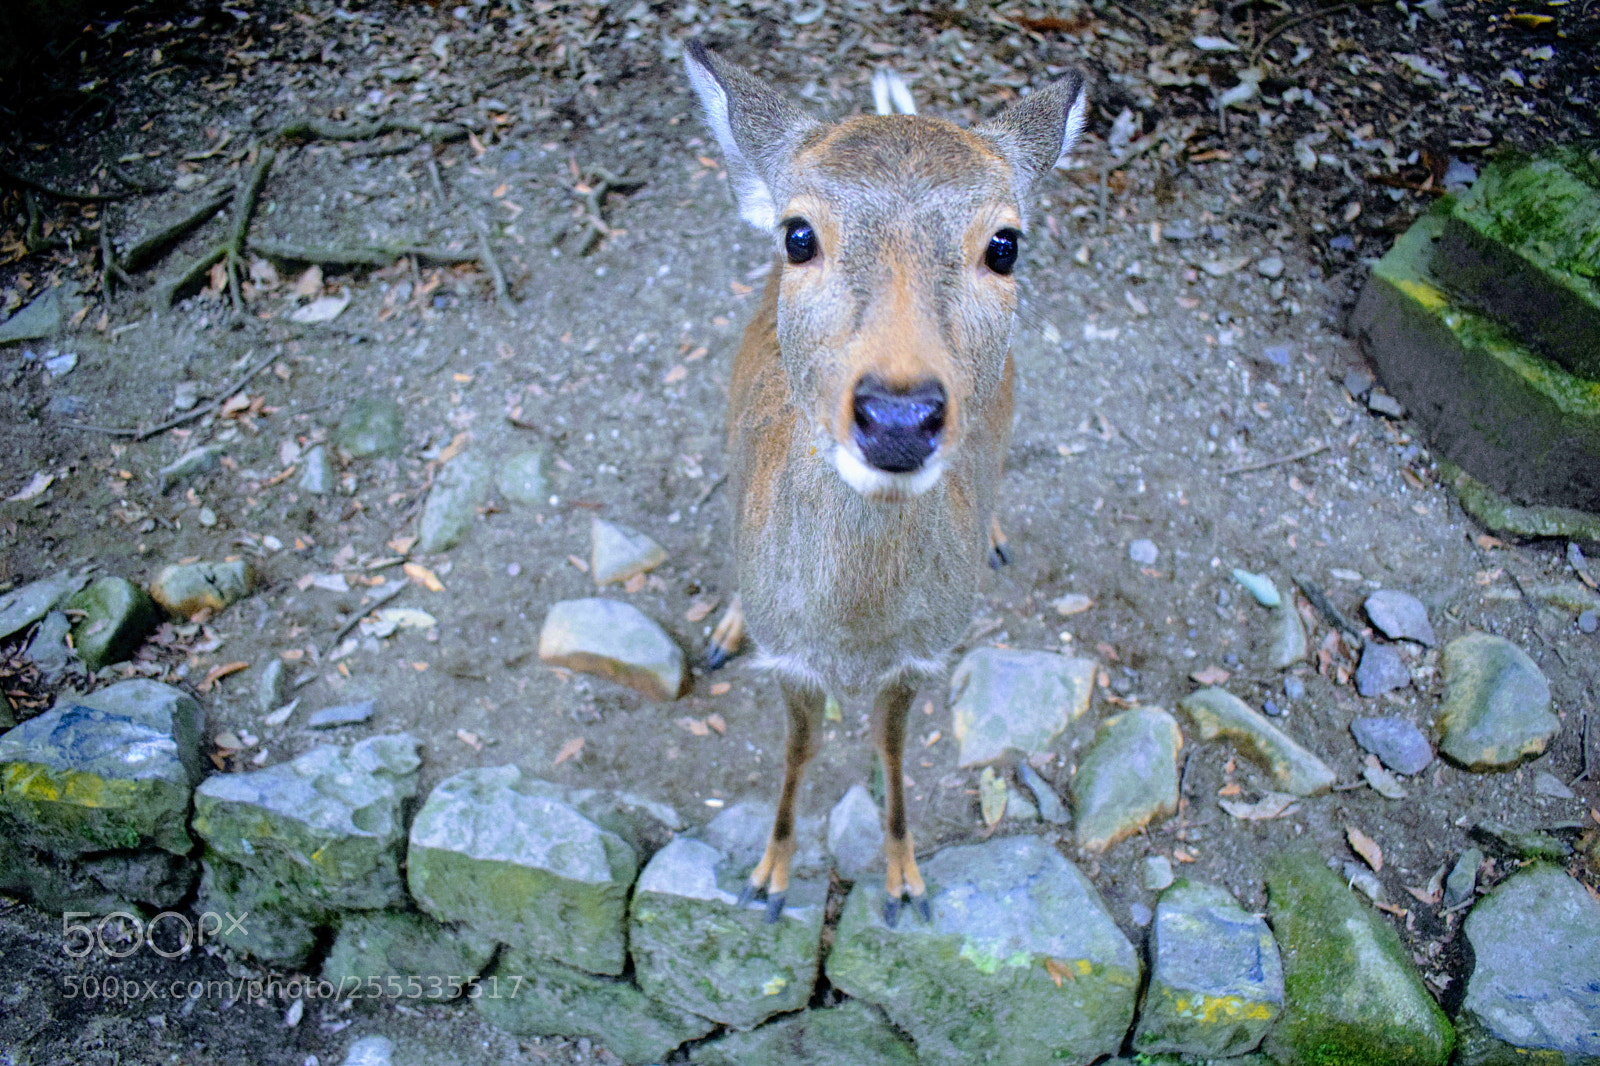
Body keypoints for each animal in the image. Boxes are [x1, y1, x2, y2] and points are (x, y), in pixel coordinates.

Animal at [683, 39, 1086, 926]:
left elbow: (892, 753)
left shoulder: (924, 653)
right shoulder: (794, 662)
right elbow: (799, 753)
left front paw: (905, 882)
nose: (898, 416)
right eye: (798, 233)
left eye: (1005, 243)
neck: (854, 636)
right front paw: (768, 879)